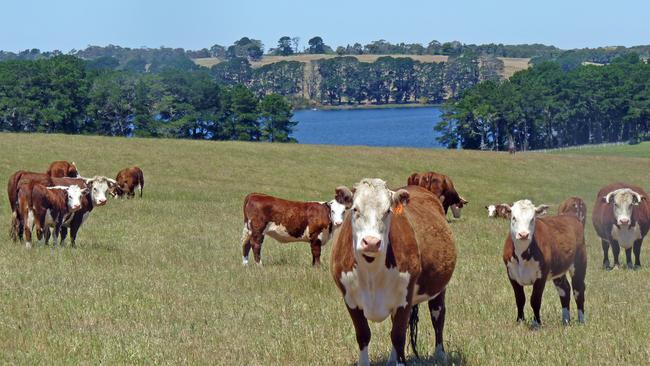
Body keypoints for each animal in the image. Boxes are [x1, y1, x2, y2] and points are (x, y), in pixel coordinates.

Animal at [330, 180, 456, 366]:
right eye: (355, 209)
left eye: (387, 211)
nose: (371, 242)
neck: (371, 271)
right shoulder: (350, 298)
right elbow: (363, 334)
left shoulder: (404, 298)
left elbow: (398, 336)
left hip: (439, 289)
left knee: (438, 316)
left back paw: (440, 354)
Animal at [498, 199, 584, 328]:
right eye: (514, 218)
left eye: (532, 219)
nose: (523, 234)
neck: (522, 255)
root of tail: (570, 217)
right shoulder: (511, 274)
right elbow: (520, 299)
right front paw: (520, 321)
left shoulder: (541, 275)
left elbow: (535, 299)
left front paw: (536, 323)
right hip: (558, 270)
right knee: (565, 290)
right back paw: (565, 321)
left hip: (579, 263)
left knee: (578, 290)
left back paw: (581, 321)